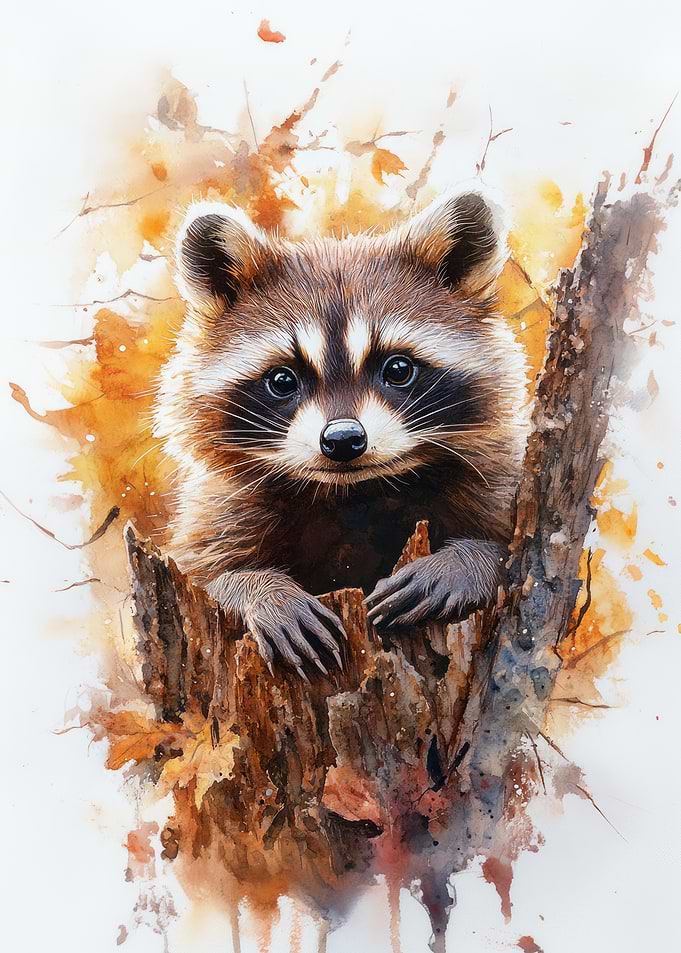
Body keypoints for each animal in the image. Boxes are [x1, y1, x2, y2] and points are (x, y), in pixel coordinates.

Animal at [154, 190, 528, 677]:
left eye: (398, 369)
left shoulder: (496, 474)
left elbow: (513, 551)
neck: (354, 493)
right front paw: (261, 591)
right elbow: (201, 574)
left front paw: (465, 562)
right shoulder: (225, 502)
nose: (343, 440)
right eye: (282, 380)